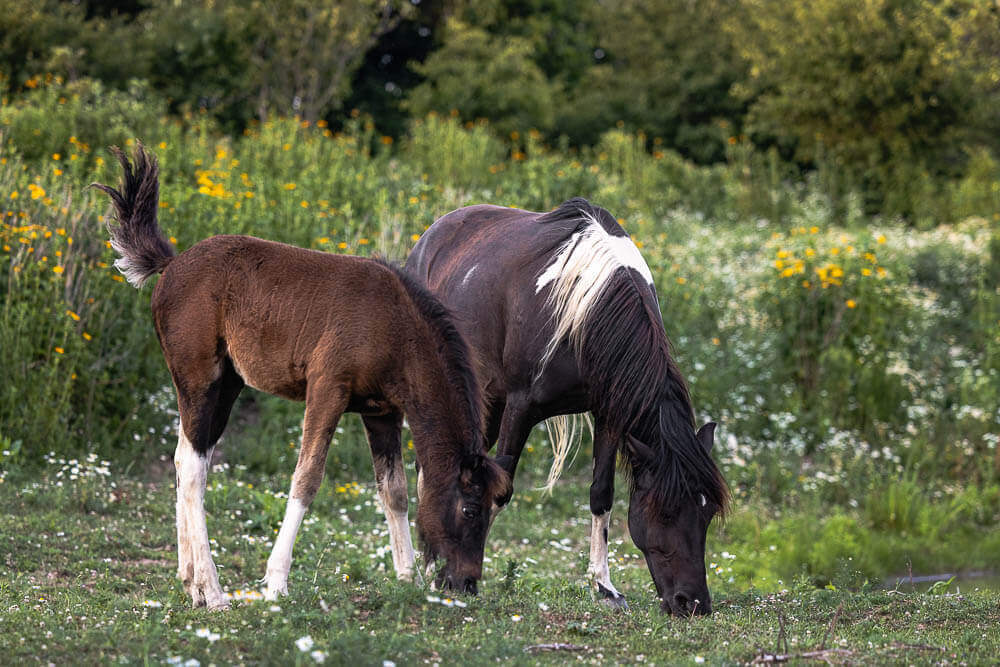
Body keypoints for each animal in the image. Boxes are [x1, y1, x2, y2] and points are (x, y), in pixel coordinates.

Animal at [91, 144, 511, 609]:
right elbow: (307, 479)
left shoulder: (381, 412)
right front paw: (277, 581)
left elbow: (395, 491)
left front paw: (407, 579)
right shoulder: (327, 390)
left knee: (185, 458)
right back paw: (213, 591)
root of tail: (172, 264)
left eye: (495, 510)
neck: (395, 326)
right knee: (194, 466)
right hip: (200, 378)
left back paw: (190, 581)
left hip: (227, 385)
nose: (467, 582)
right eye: (470, 509)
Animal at [405, 197, 729, 615]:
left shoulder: (608, 412)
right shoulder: (520, 406)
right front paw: (458, 577)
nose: (693, 603)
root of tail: (433, 233)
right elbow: (496, 491)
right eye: (667, 511)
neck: (588, 311)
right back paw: (424, 566)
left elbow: (601, 494)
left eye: (706, 513)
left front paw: (604, 587)